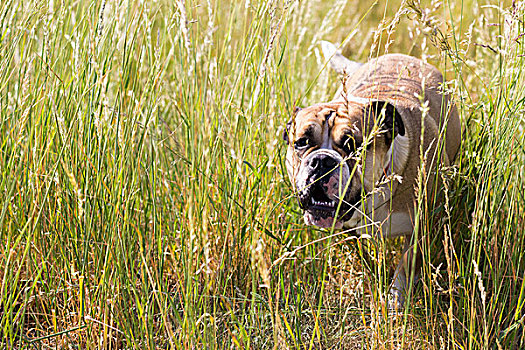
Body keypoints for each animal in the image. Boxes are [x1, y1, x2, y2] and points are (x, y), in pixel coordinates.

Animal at [282, 42, 458, 306]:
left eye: (353, 144)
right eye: (301, 142)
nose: (321, 160)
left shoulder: (422, 227)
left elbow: (404, 270)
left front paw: (395, 303)